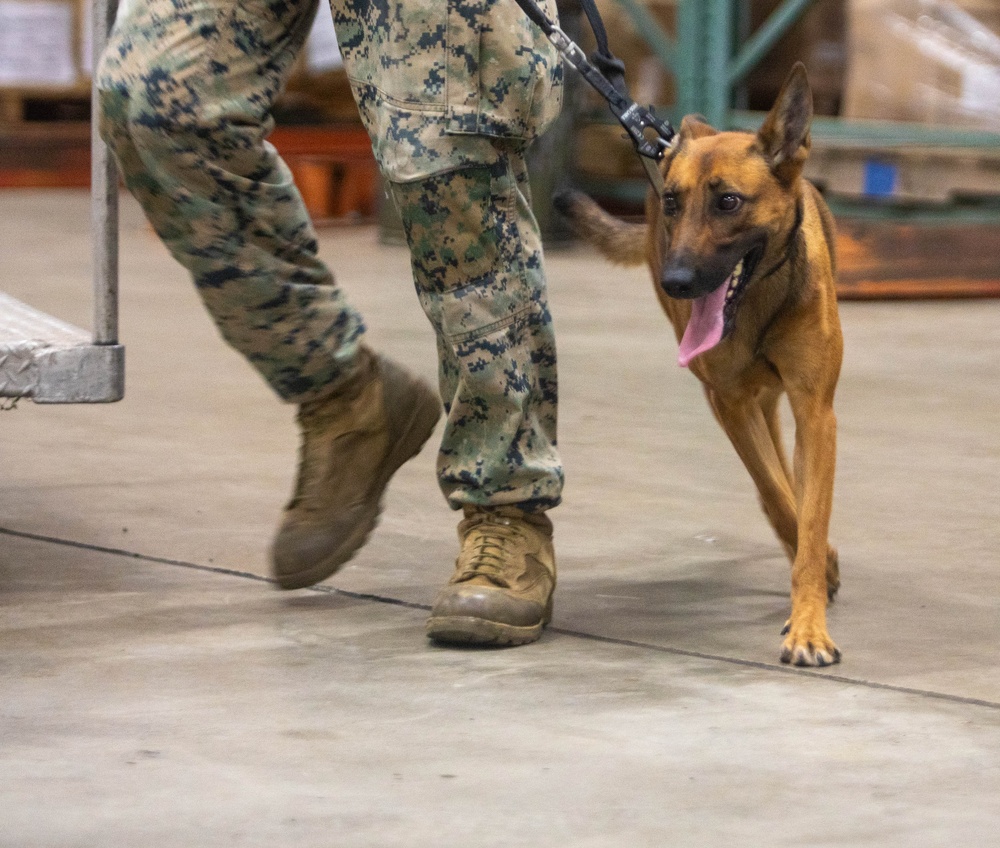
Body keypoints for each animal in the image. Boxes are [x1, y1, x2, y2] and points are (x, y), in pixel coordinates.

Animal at [556, 63, 844, 664]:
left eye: (729, 202)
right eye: (673, 202)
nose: (677, 282)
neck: (757, 301)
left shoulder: (816, 412)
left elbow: (809, 510)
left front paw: (809, 623)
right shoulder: (728, 403)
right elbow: (779, 498)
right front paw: (813, 577)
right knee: (774, 480)